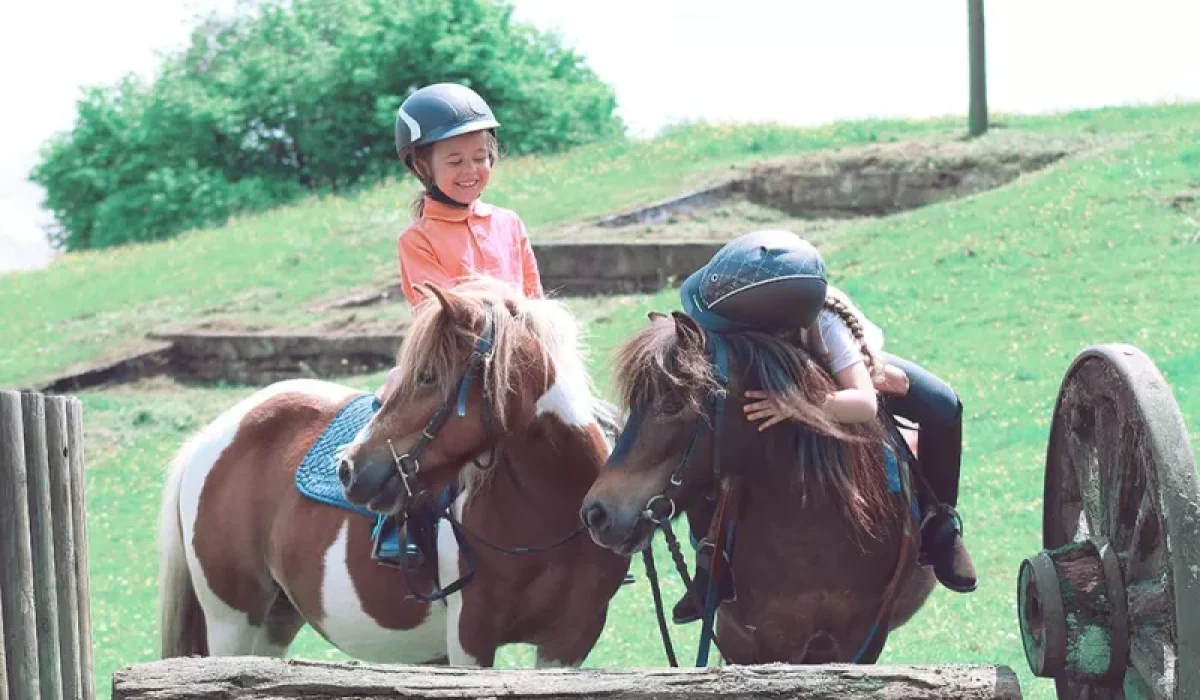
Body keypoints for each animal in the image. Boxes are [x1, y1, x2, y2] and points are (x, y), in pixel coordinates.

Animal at [158, 277, 630, 668]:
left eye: (427, 376)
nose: (348, 469)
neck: (544, 515)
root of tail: (210, 436)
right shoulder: (470, 637)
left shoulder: (569, 642)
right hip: (231, 621)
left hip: (276, 620)